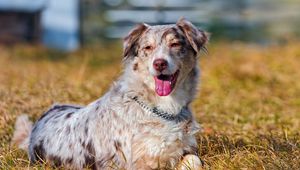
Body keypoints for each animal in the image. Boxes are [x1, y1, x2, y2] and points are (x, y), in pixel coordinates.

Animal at [11, 17, 209, 169]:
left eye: (175, 44)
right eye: (147, 48)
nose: (159, 63)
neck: (163, 109)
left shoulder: (184, 149)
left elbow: (194, 160)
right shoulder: (133, 163)